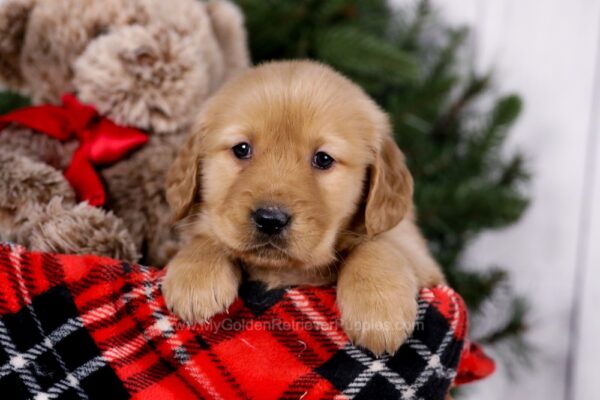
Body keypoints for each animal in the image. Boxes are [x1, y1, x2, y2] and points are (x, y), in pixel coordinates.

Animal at [162, 59, 442, 354]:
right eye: (241, 149)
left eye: (323, 159)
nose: (270, 219)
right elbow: (207, 236)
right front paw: (196, 277)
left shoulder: (421, 258)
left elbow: (379, 242)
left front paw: (378, 308)